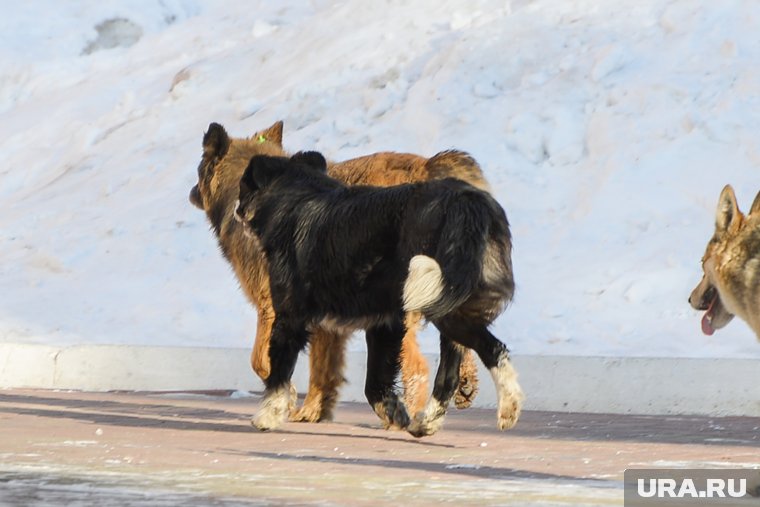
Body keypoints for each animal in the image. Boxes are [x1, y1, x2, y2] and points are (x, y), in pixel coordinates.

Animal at [191, 121, 486, 422]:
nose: (191, 192)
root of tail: (430, 166)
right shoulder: (325, 322)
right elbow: (322, 367)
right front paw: (313, 409)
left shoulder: (272, 308)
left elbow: (261, 360)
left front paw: (287, 397)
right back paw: (463, 385)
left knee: (417, 368)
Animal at [238, 152, 524, 436]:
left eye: (243, 187)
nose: (236, 209)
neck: (295, 198)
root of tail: (467, 202)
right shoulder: (384, 323)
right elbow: (375, 382)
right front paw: (394, 413)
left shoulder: (289, 316)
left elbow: (279, 373)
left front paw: (267, 416)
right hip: (445, 297)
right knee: (449, 375)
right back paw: (426, 422)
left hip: (441, 302)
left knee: (494, 349)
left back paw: (509, 406)